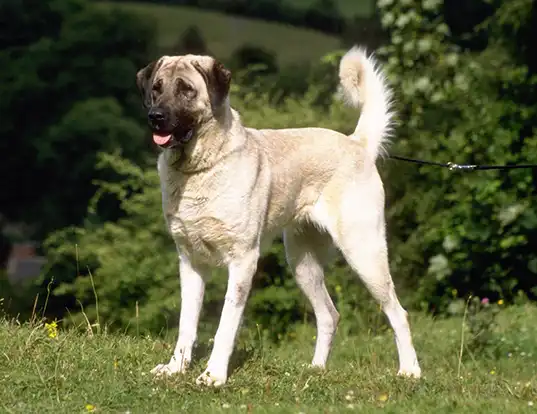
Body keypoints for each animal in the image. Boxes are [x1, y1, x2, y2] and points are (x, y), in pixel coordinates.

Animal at [136, 47, 420, 386]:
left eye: (186, 90)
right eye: (157, 88)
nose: (155, 117)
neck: (200, 168)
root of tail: (356, 143)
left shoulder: (243, 261)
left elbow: (225, 324)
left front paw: (214, 375)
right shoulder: (190, 262)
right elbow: (186, 324)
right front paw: (175, 368)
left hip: (364, 253)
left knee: (398, 313)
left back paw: (410, 371)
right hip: (302, 263)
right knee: (329, 314)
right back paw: (316, 369)